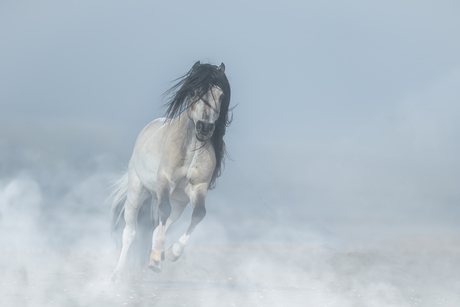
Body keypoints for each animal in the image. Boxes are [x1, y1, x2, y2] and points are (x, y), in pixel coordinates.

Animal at [110, 61, 232, 282]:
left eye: (220, 95)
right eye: (194, 91)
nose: (204, 128)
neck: (191, 149)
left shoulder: (198, 188)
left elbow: (199, 214)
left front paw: (172, 253)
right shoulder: (165, 181)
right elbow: (162, 211)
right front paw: (158, 257)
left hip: (179, 204)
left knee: (161, 225)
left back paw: (157, 256)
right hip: (136, 191)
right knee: (129, 232)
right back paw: (117, 274)